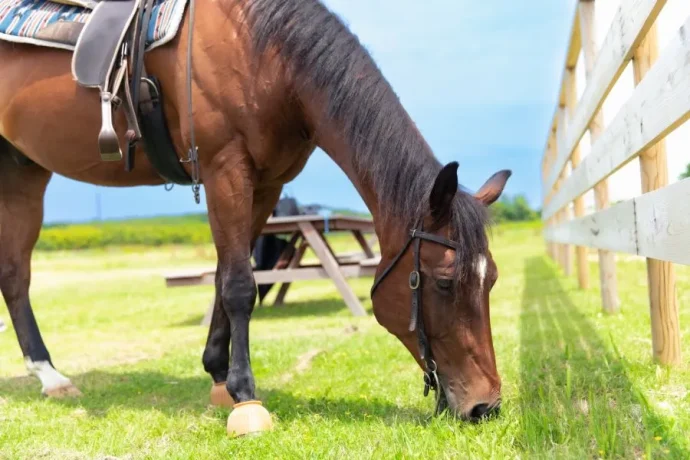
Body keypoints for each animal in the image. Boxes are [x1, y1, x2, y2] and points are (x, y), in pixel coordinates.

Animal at [0, 0, 508, 422]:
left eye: (492, 281)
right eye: (443, 282)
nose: (485, 406)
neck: (262, 51)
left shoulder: (265, 183)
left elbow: (227, 275)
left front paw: (218, 376)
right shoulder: (225, 168)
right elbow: (241, 286)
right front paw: (245, 394)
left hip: (23, 172)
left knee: (14, 275)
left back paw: (50, 376)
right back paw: (49, 374)